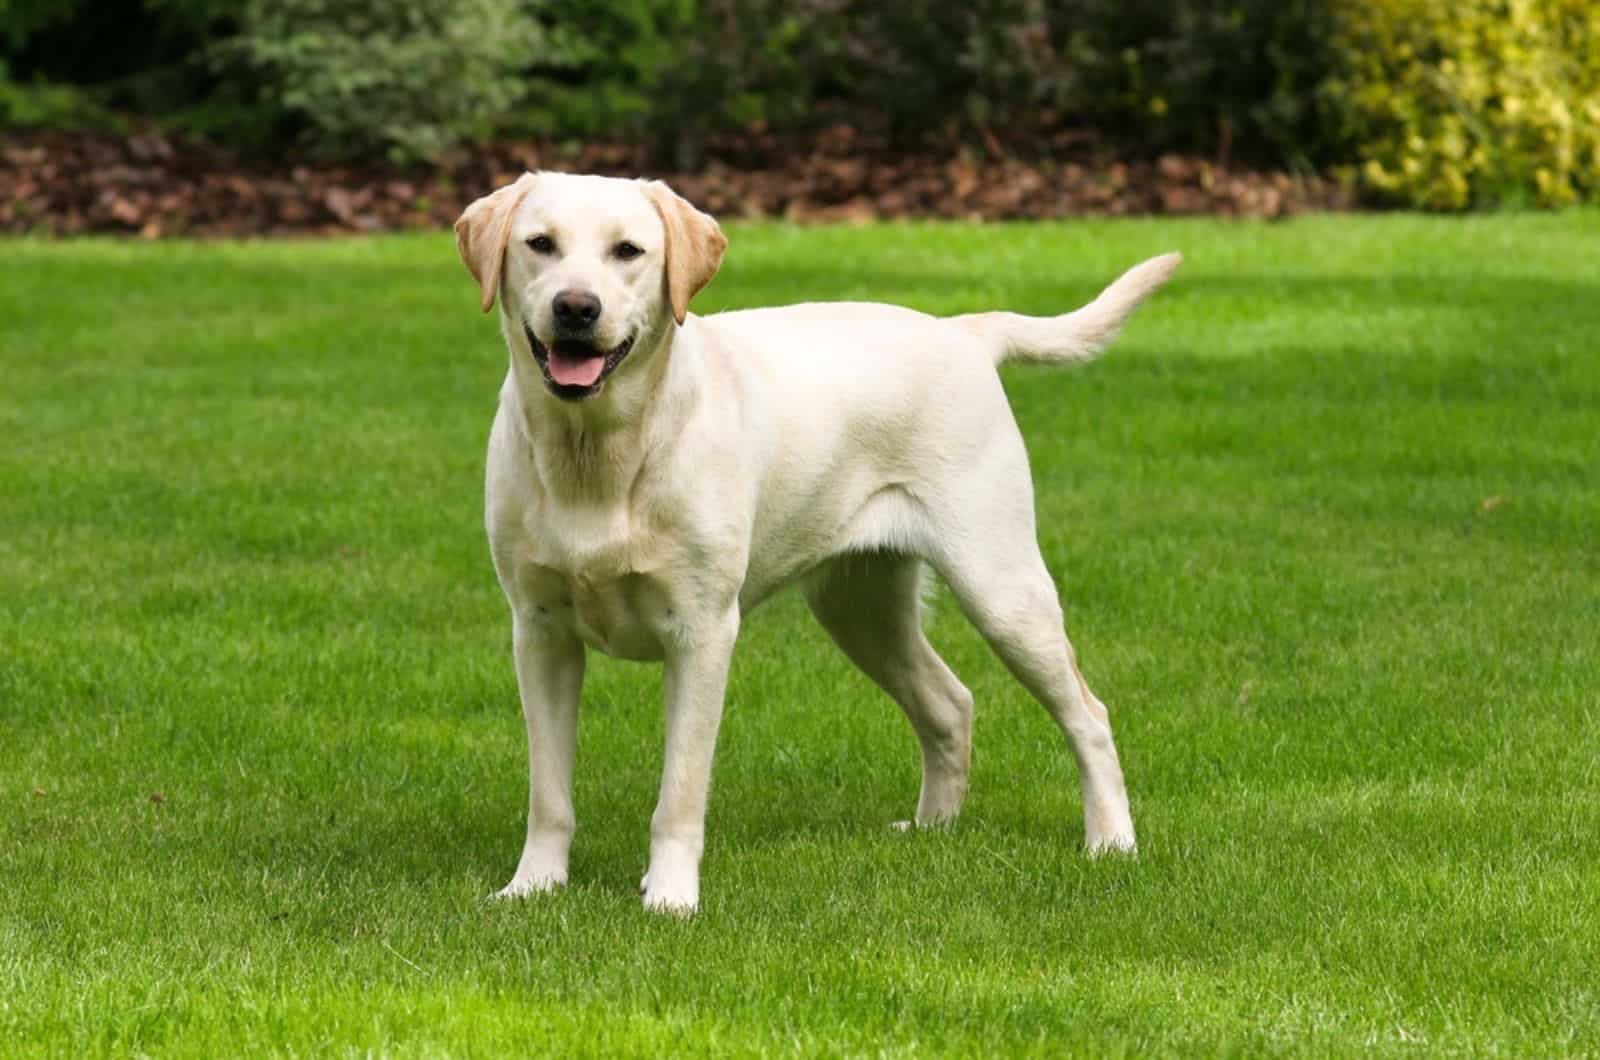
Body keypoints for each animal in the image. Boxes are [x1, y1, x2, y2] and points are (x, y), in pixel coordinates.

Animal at [451, 172, 1177, 915]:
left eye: (628, 251)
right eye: (541, 244)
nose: (576, 307)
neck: (598, 453)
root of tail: (962, 331)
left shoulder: (702, 633)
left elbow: (679, 792)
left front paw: (672, 897)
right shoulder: (539, 632)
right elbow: (548, 792)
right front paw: (533, 886)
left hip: (1000, 586)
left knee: (1088, 714)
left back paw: (1111, 841)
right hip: (860, 608)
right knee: (950, 703)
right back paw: (932, 829)